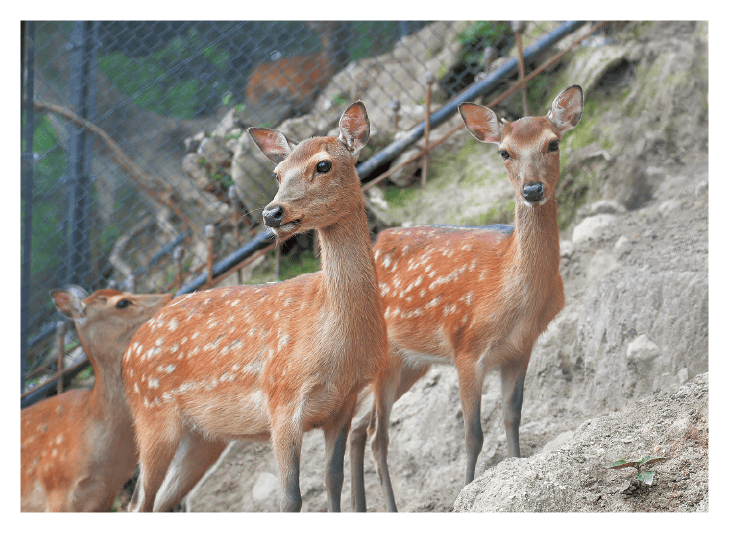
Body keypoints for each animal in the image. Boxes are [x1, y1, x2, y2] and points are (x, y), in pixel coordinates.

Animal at [122, 101, 390, 512]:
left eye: (323, 164)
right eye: (277, 173)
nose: (271, 213)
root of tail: (126, 355)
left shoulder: (343, 404)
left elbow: (334, 479)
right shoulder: (282, 399)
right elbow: (290, 498)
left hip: (202, 437)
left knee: (163, 501)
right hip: (152, 418)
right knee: (139, 503)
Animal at [348, 84, 584, 512]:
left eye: (553, 143)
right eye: (504, 152)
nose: (532, 189)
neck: (514, 295)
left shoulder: (519, 349)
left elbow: (512, 416)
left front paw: (515, 467)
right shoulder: (466, 347)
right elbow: (473, 434)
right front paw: (466, 490)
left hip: (411, 361)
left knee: (358, 427)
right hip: (387, 358)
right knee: (376, 434)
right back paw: (389, 507)